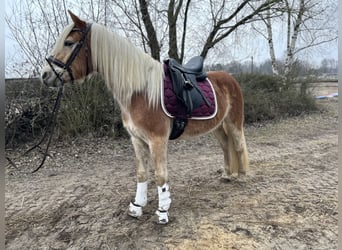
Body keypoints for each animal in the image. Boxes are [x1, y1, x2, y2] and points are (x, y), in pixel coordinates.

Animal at [40, 11, 248, 225]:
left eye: (69, 42)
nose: (45, 75)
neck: (139, 91)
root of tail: (229, 77)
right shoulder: (137, 139)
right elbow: (141, 174)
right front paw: (137, 207)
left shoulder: (157, 140)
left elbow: (160, 176)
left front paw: (163, 212)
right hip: (217, 127)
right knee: (225, 146)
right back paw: (226, 174)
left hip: (233, 122)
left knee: (239, 145)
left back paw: (241, 176)